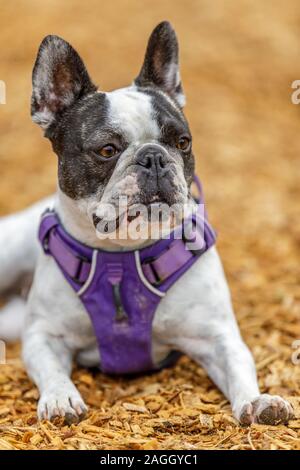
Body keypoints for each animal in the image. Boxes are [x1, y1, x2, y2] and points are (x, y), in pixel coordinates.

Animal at [0, 23, 292, 426]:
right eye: (106, 150)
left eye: (182, 142)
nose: (153, 157)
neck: (122, 258)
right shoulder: (44, 335)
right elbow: (51, 369)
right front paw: (60, 398)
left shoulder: (216, 337)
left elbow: (239, 367)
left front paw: (258, 401)